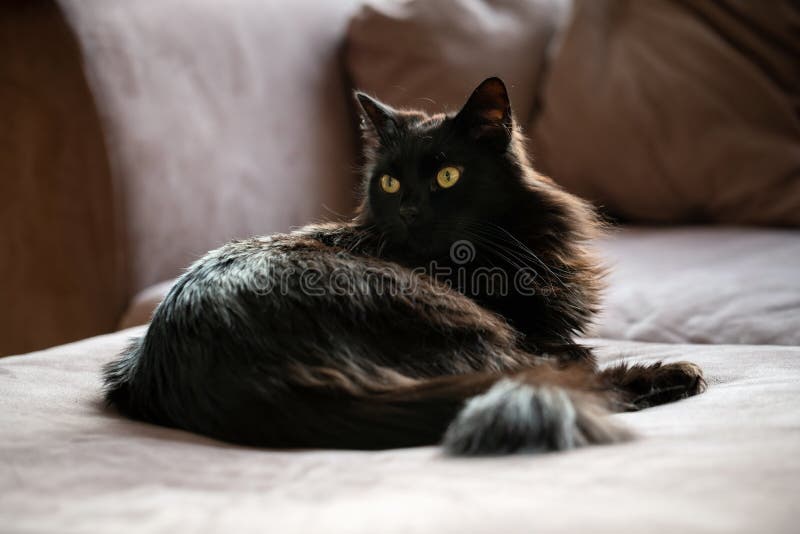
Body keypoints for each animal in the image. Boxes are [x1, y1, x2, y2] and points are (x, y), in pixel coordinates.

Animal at [101, 78, 708, 456]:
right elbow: (571, 354)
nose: (410, 211)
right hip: (453, 321)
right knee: (565, 381)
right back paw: (673, 374)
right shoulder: (534, 335)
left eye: (447, 176)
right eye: (390, 182)